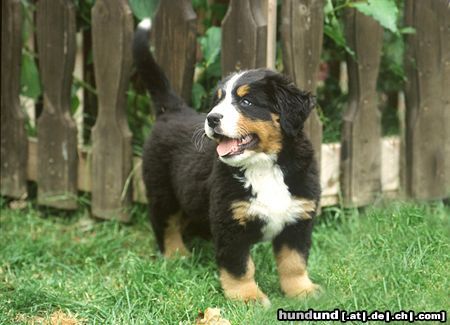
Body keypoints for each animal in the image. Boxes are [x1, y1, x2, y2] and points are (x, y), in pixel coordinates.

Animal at [134, 19, 320, 304]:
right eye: (219, 100)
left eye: (246, 101)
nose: (211, 118)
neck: (263, 166)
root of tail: (174, 110)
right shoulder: (230, 223)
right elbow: (240, 266)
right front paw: (248, 298)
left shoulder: (298, 218)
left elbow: (294, 262)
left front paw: (302, 291)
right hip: (161, 189)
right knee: (165, 224)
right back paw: (177, 255)